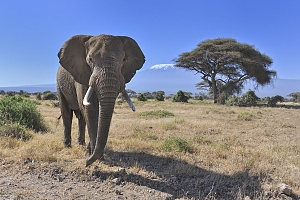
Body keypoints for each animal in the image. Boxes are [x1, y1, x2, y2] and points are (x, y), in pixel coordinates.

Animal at [56, 34, 146, 166]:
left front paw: (91, 153)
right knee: (67, 113)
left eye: (123, 60)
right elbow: (90, 108)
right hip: (59, 85)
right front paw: (96, 157)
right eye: (90, 59)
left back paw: (81, 144)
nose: (86, 163)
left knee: (81, 118)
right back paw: (67, 146)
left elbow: (98, 112)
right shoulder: (82, 73)